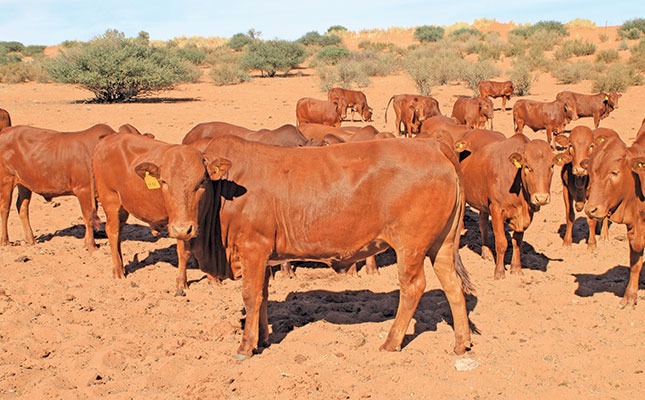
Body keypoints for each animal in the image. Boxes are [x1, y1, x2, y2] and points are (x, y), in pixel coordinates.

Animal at [92, 133, 228, 296]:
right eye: (164, 181)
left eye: (202, 181)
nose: (183, 229)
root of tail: (104, 141)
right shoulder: (178, 225)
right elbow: (183, 251)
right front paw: (181, 282)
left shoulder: (196, 222)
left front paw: (213, 278)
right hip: (111, 200)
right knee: (112, 232)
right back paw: (118, 271)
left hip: (123, 208)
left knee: (118, 233)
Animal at [200, 135, 473, 359]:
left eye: (200, 182)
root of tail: (432, 145)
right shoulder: (264, 256)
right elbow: (262, 295)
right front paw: (263, 339)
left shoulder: (252, 250)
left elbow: (251, 296)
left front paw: (246, 346)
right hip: (442, 244)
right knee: (452, 284)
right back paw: (461, 343)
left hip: (411, 246)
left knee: (413, 287)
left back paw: (391, 341)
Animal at [460, 130, 568, 278]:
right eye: (528, 167)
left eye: (551, 166)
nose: (541, 198)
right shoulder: (497, 209)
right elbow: (502, 242)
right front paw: (499, 272)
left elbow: (517, 241)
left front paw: (516, 268)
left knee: (483, 224)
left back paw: (486, 252)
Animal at [583, 135, 645, 308]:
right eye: (590, 172)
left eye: (614, 172)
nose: (591, 209)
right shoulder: (634, 226)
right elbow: (635, 262)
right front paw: (630, 297)